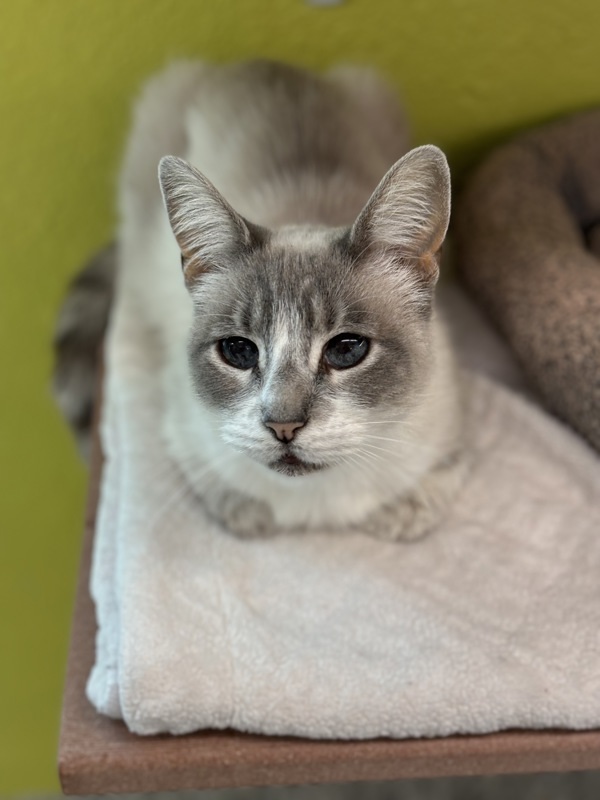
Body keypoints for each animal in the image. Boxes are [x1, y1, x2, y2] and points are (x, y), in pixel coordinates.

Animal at [52, 61, 464, 536]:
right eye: (238, 351)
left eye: (347, 350)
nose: (283, 427)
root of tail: (252, 61)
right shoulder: (187, 432)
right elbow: (230, 496)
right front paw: (252, 515)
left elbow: (423, 491)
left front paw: (399, 515)